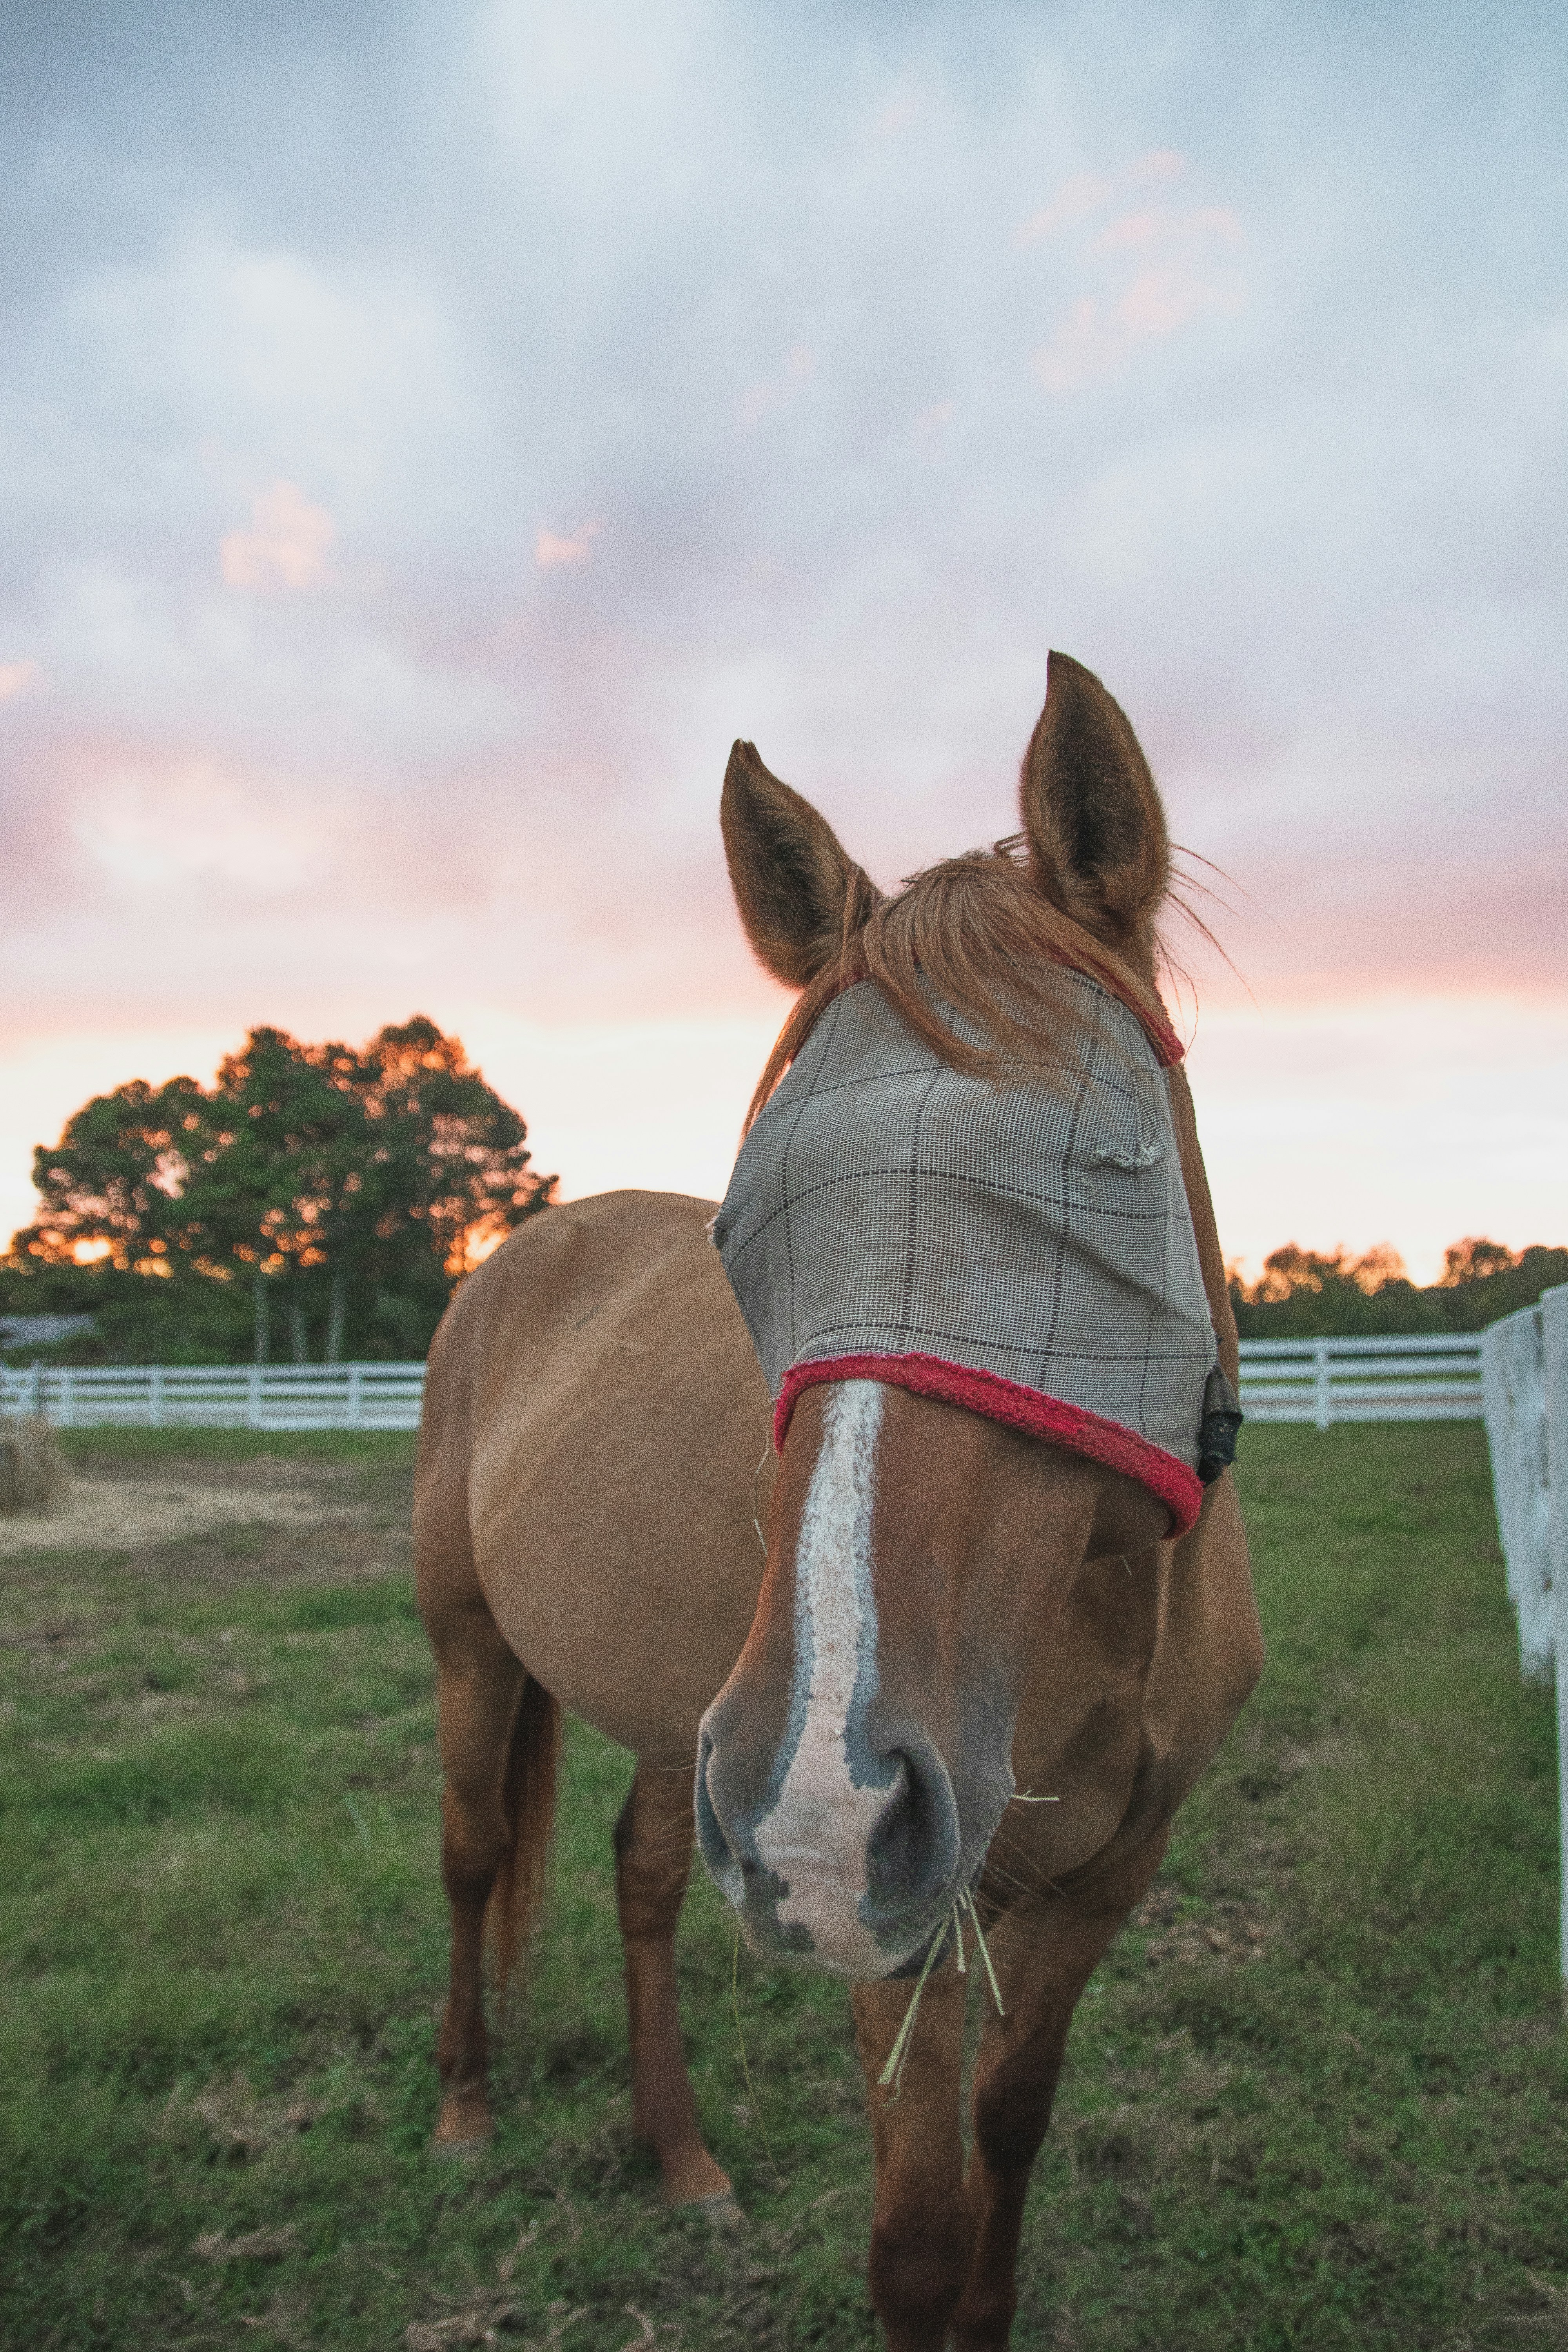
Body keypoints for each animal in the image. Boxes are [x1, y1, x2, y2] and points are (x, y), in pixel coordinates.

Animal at [414, 651, 1263, 2351]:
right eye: (744, 1223)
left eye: (1114, 1168)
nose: (824, 1795)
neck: (1109, 1613)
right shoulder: (892, 1916)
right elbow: (916, 2236)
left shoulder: (1104, 1883)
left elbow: (1011, 2136)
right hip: (494, 1658)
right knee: (475, 1856)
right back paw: (468, 2113)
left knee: (642, 1875)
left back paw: (678, 2156)